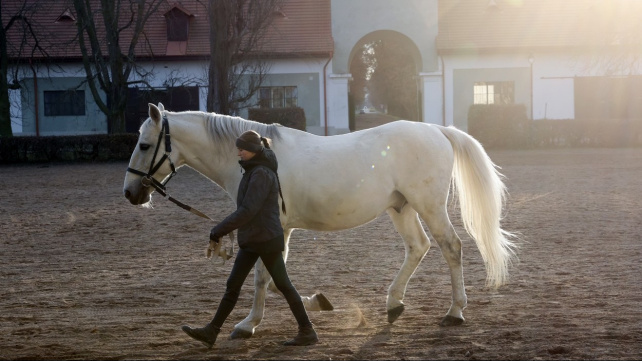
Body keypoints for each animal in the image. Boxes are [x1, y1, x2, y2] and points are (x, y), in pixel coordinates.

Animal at [124, 103, 516, 338]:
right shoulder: (280, 230)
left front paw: (248, 325)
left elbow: (264, 278)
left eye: (144, 145)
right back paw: (394, 304)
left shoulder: (272, 228)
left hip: (428, 206)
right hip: (401, 208)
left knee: (451, 247)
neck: (264, 160)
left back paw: (454, 312)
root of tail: (438, 130)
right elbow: (276, 278)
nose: (130, 193)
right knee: (418, 248)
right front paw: (318, 302)